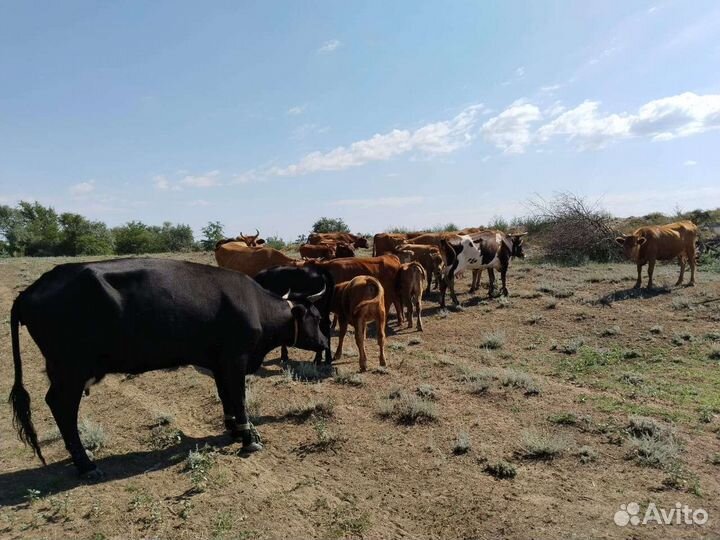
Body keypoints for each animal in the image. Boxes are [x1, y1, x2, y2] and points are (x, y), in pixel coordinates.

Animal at [8, 258, 328, 478]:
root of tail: (30, 290)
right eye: (314, 317)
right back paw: (86, 465)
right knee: (61, 406)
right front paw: (249, 439)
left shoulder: (219, 363)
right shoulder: (235, 360)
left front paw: (235, 431)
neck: (255, 306)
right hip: (70, 371)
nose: (325, 343)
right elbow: (239, 399)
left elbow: (226, 398)